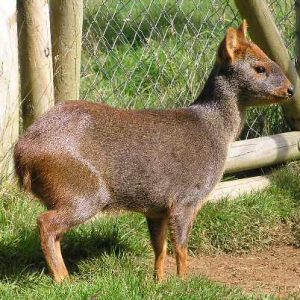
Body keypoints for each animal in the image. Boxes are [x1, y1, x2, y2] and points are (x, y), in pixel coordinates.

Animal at [14, 20, 292, 282]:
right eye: (260, 68)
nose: (290, 89)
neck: (215, 130)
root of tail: (22, 154)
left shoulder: (156, 208)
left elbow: (160, 248)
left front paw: (159, 282)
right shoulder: (187, 198)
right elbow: (181, 247)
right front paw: (184, 282)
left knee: (55, 231)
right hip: (83, 192)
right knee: (45, 223)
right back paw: (64, 280)